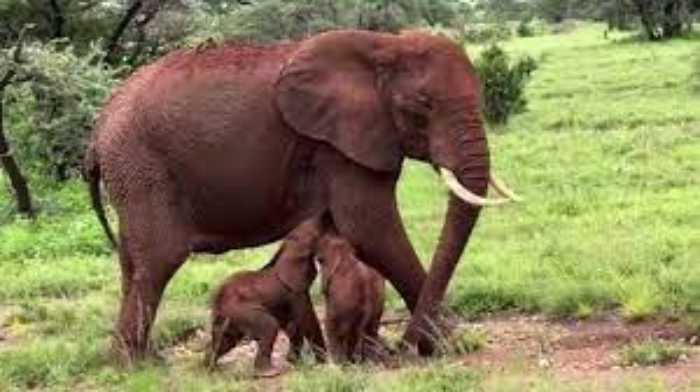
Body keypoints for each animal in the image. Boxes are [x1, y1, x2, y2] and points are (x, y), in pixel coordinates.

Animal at [205, 219, 326, 376]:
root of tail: (217, 299)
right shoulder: (295, 291)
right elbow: (305, 319)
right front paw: (322, 362)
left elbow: (291, 324)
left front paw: (295, 361)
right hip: (241, 309)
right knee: (269, 326)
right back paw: (269, 372)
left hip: (228, 315)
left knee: (226, 338)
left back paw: (209, 367)